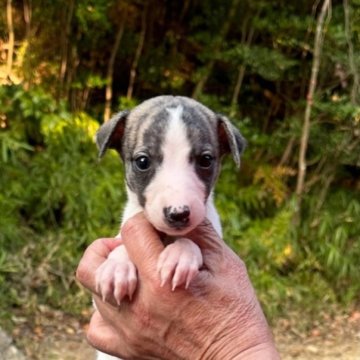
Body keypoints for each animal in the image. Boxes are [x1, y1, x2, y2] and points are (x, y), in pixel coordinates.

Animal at [93, 95, 245, 360]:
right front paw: (116, 267)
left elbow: (192, 242)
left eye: (206, 160)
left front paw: (180, 255)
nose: (178, 213)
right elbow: (120, 246)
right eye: (142, 161)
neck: (165, 236)